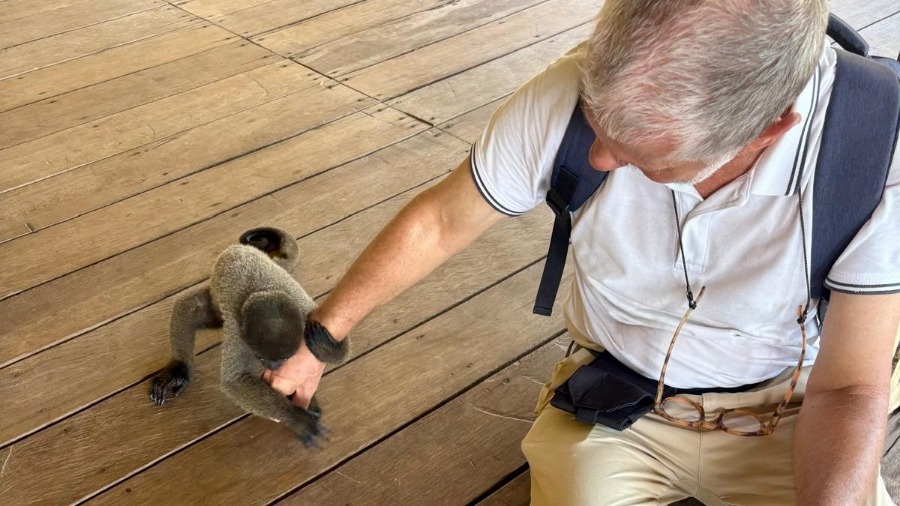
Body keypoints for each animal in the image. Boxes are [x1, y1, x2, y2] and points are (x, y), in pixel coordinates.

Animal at [149, 226, 349, 447]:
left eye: (285, 358)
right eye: (262, 357)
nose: (273, 366)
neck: (264, 291)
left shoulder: (306, 311)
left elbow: (340, 339)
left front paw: (327, 349)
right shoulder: (240, 332)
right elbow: (234, 380)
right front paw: (296, 419)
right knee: (190, 308)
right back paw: (178, 371)